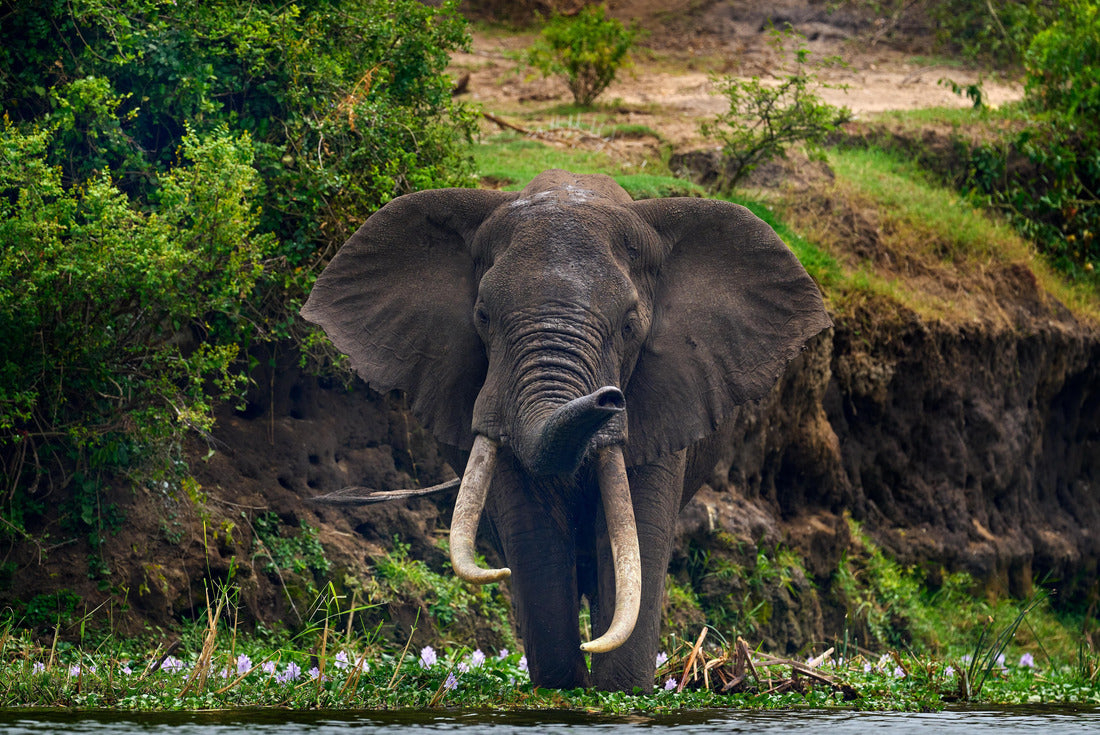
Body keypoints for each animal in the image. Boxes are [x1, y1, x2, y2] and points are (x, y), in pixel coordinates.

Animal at [301, 169, 831, 692]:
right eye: (483, 316)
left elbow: (636, 530)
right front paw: (563, 687)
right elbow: (534, 528)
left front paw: (618, 691)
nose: (610, 398)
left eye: (629, 326)